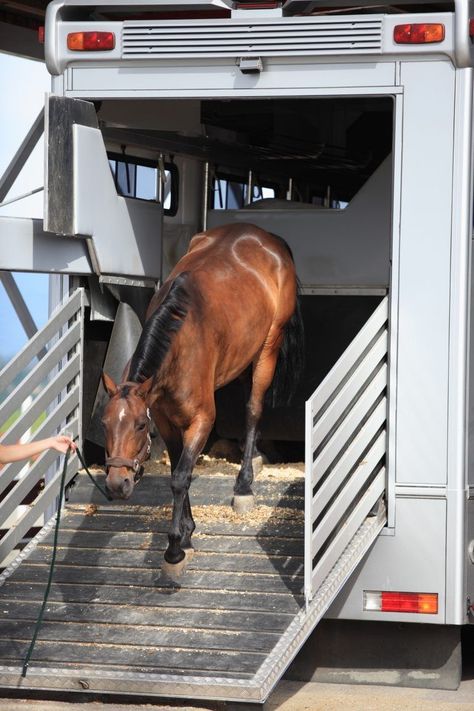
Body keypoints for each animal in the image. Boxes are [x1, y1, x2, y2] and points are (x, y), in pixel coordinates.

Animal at [102, 222, 306, 580]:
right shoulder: (167, 424)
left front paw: (174, 549)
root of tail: (269, 239)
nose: (117, 483)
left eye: (140, 425)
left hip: (267, 349)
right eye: (104, 423)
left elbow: (181, 476)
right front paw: (186, 531)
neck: (180, 337)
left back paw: (244, 485)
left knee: (253, 409)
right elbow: (177, 472)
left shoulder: (201, 421)